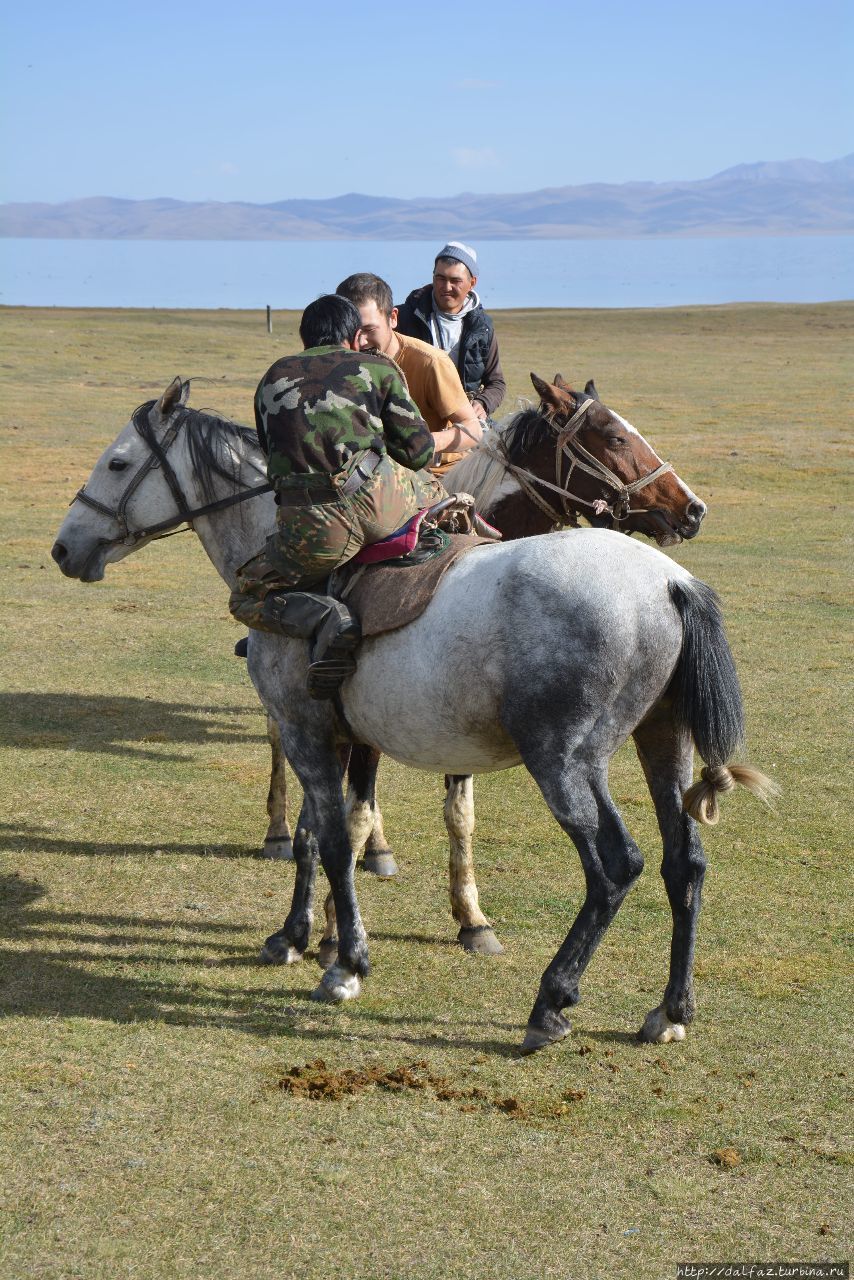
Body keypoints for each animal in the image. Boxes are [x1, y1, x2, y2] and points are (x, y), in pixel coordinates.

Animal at [51, 373, 773, 1049]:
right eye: (615, 437)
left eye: (116, 463)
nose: (63, 547)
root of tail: (669, 582)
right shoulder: (333, 734)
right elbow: (325, 832)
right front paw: (299, 934)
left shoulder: (307, 729)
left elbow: (337, 838)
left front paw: (346, 962)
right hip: (663, 741)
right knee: (685, 861)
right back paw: (671, 1010)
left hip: (566, 760)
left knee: (615, 866)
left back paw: (551, 1002)